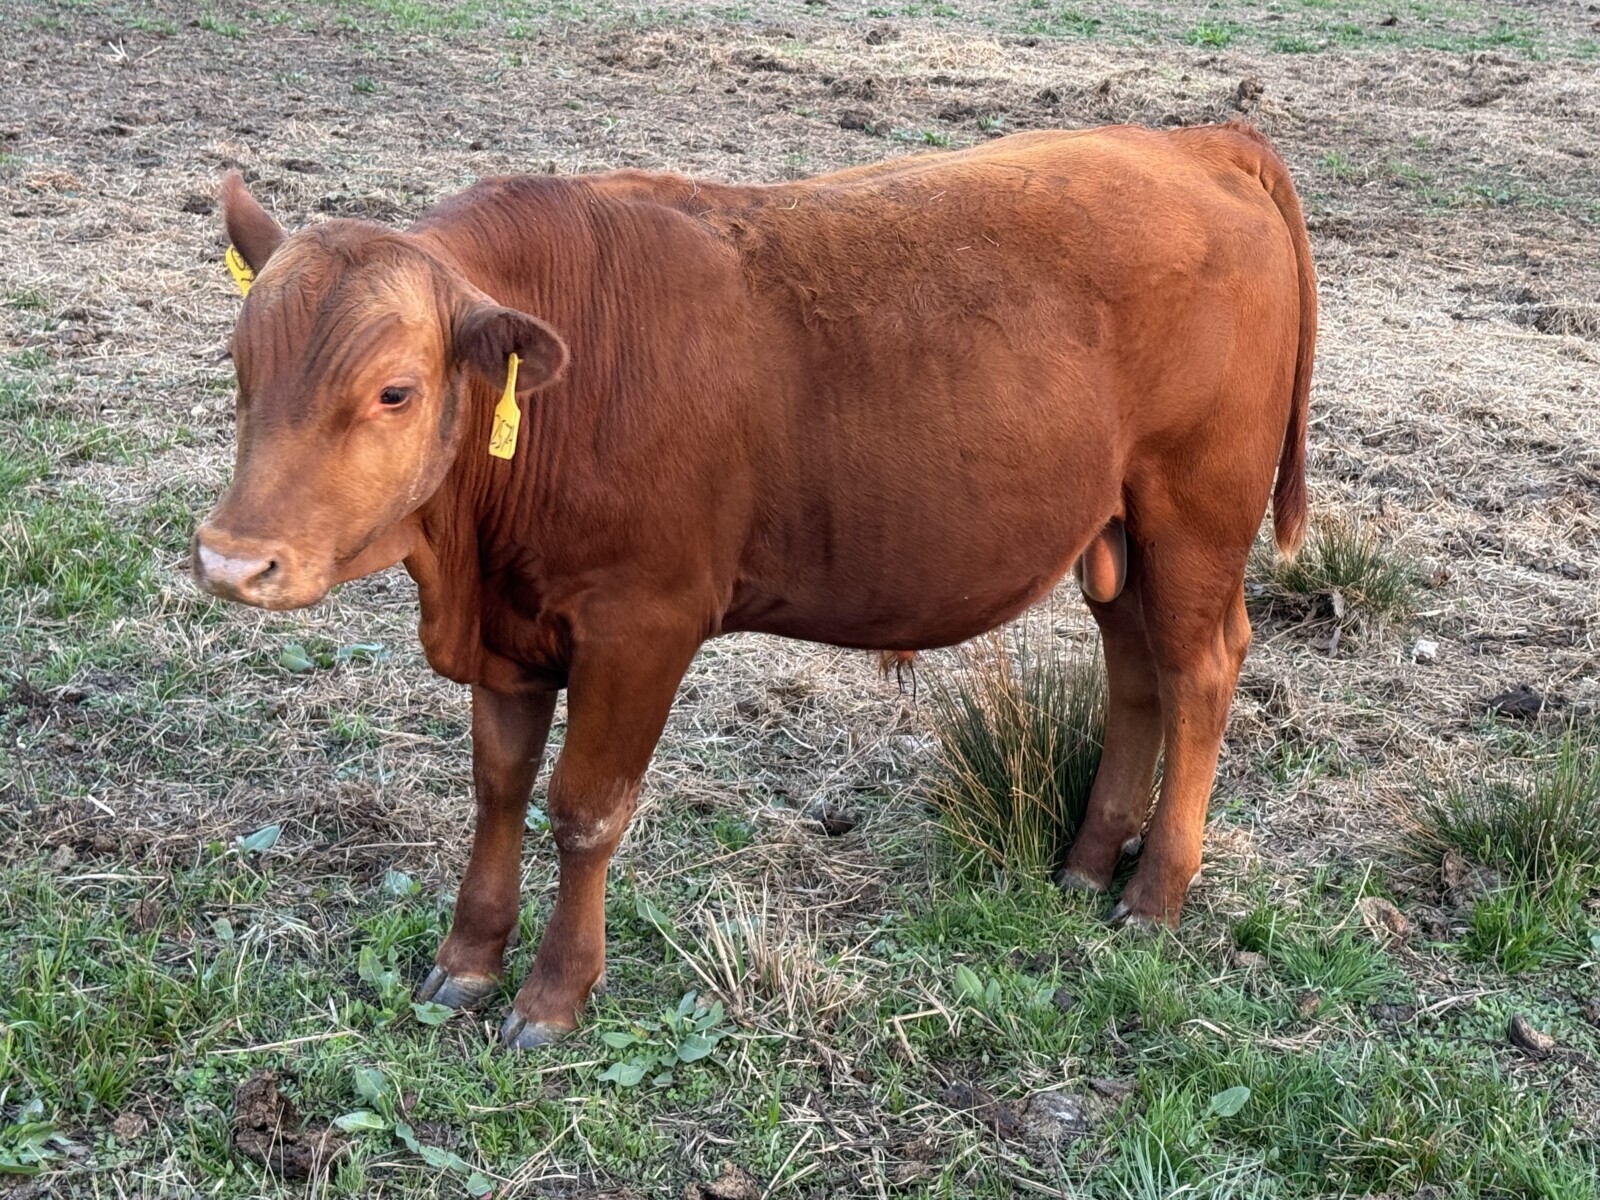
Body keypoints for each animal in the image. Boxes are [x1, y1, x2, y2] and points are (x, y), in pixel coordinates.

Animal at [193, 122, 1315, 1048]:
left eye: (395, 389)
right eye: (240, 363)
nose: (231, 560)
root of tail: (1192, 141)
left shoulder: (643, 626)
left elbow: (585, 809)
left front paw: (554, 996)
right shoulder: (511, 637)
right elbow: (498, 791)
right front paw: (467, 962)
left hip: (1195, 511)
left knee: (1200, 669)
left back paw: (1154, 893)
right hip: (1117, 530)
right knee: (1136, 673)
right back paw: (1087, 859)